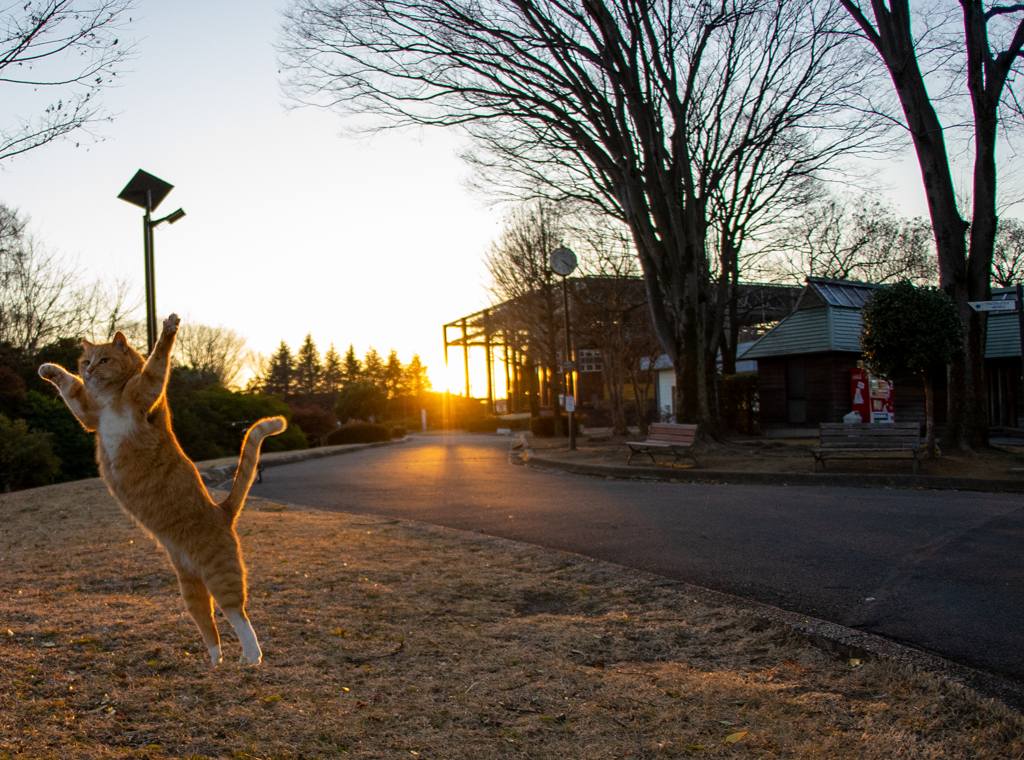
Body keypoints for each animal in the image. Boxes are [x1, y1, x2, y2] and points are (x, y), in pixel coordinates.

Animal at [39, 315, 284, 667]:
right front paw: (48, 369)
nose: (90, 371)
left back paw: (251, 657)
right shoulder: (88, 415)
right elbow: (69, 386)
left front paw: (168, 330)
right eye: (86, 361)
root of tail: (221, 510)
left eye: (104, 360)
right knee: (209, 623)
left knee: (237, 614)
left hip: (220, 573)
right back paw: (215, 663)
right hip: (188, 586)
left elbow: (157, 362)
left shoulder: (147, 391)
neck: (111, 398)